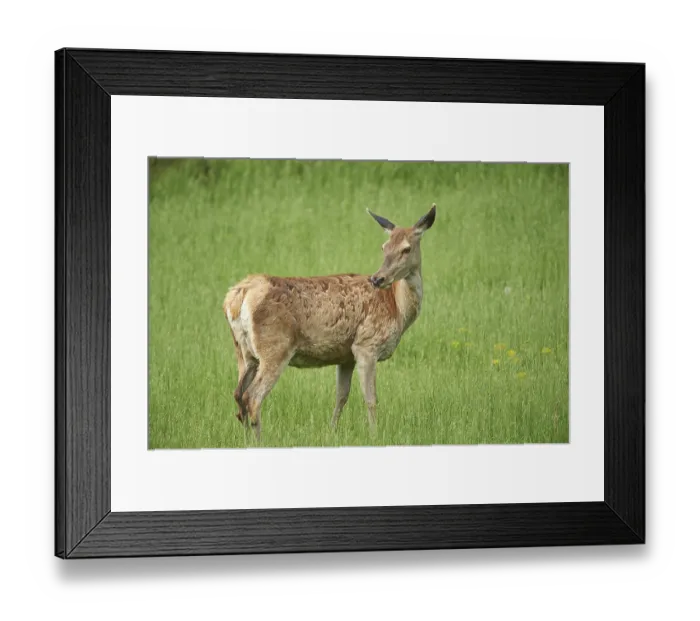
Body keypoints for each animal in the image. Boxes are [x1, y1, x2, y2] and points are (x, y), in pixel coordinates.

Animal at [223, 203, 436, 441]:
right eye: (384, 247)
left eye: (406, 249)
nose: (377, 278)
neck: (397, 307)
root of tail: (238, 295)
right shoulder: (367, 344)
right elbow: (371, 398)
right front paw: (374, 435)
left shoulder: (345, 356)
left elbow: (341, 396)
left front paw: (332, 430)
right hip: (275, 348)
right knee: (253, 397)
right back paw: (260, 440)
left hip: (244, 352)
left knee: (238, 394)